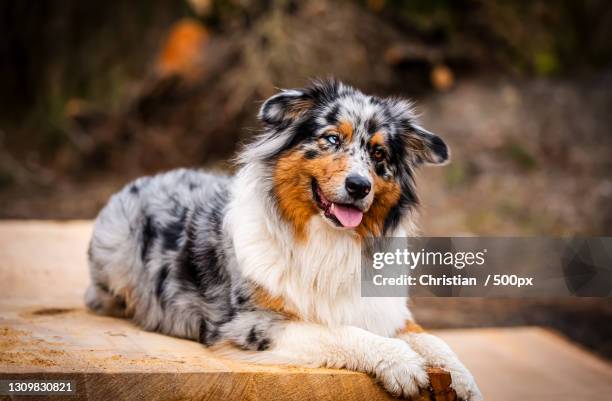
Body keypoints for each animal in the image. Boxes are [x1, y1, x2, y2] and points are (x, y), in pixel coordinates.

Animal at [85, 79, 482, 398]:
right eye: (331, 139)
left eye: (379, 153)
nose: (359, 186)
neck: (328, 242)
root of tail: (147, 178)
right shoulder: (251, 325)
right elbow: (340, 332)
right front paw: (400, 361)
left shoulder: (383, 309)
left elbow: (429, 337)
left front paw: (464, 379)